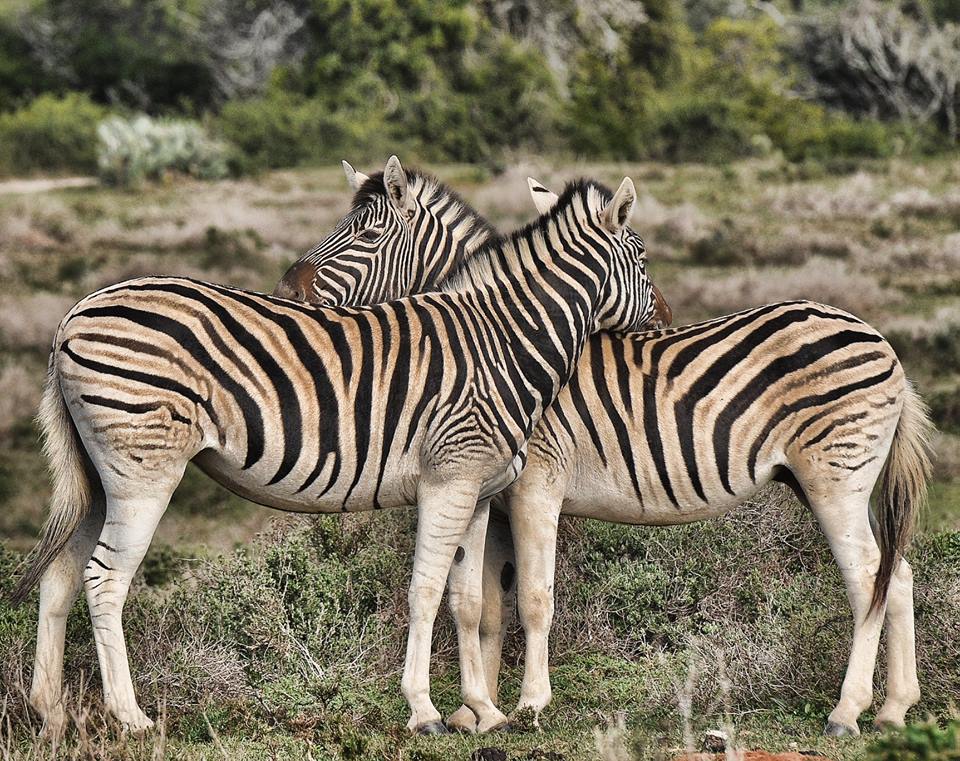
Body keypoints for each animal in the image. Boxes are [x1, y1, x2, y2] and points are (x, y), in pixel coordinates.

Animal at [11, 165, 660, 736]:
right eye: (644, 260)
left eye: (368, 234)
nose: (665, 320)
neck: (500, 337)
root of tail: (74, 313)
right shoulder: (448, 479)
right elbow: (425, 590)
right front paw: (424, 712)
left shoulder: (478, 489)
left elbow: (468, 600)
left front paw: (483, 713)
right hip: (144, 470)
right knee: (104, 580)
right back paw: (132, 719)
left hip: (98, 473)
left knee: (62, 574)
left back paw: (51, 713)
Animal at [274, 172, 932, 736]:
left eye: (366, 234)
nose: (287, 291)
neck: (502, 340)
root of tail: (883, 343)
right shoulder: (499, 495)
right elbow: (487, 607)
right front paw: (476, 713)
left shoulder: (536, 483)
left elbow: (534, 598)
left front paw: (529, 705)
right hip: (822, 477)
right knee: (895, 574)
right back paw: (894, 709)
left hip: (835, 477)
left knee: (867, 577)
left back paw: (847, 712)